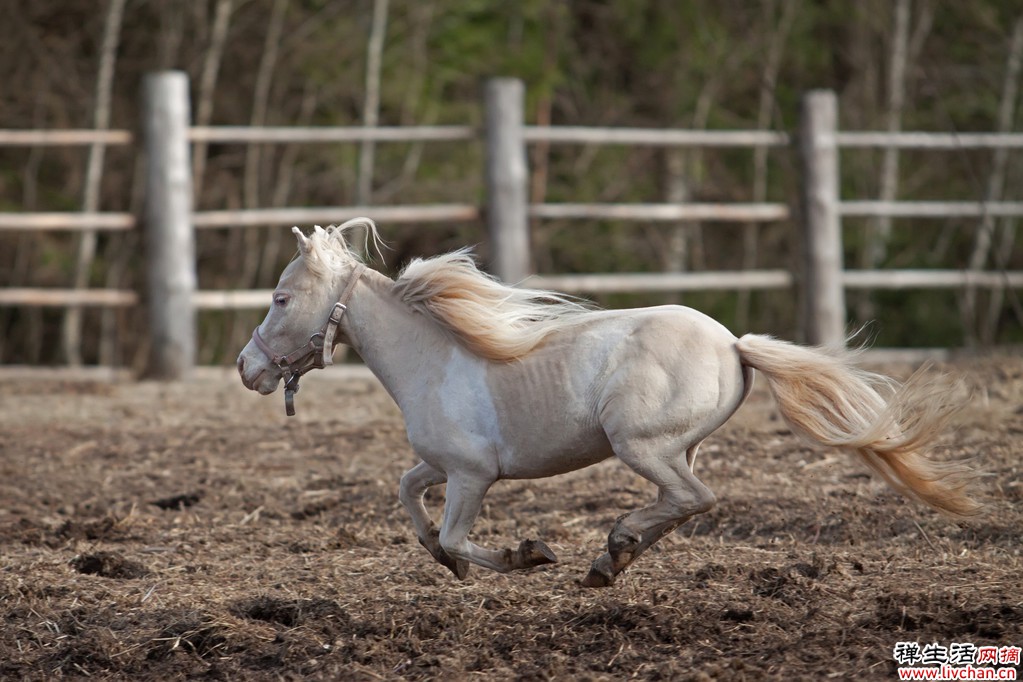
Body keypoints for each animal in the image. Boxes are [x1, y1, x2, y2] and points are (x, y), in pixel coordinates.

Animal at [235, 217, 977, 588]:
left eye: (279, 298)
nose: (247, 368)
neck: (434, 359)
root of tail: (734, 344)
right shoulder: (441, 465)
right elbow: (407, 494)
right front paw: (446, 563)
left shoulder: (472, 476)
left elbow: (453, 533)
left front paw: (526, 555)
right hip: (671, 448)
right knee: (684, 501)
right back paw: (612, 558)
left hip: (640, 445)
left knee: (694, 498)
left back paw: (608, 553)